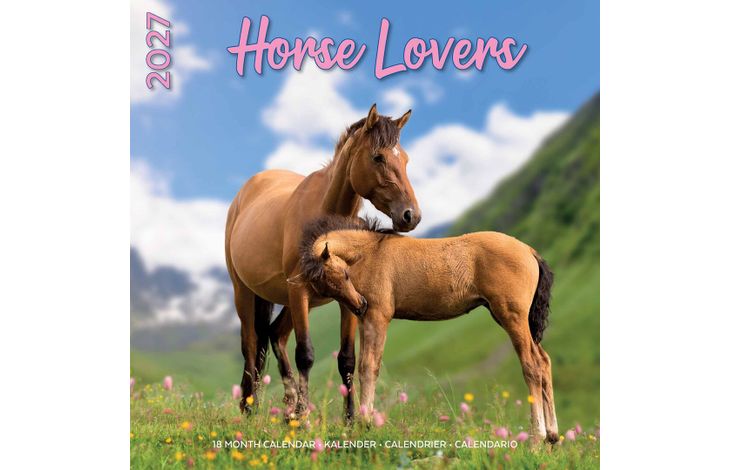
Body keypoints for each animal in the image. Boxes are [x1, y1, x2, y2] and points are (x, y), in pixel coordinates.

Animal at [225, 105, 421, 419]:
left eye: (405, 159)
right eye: (378, 157)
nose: (410, 215)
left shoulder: (349, 297)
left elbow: (347, 359)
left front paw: (349, 419)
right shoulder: (299, 291)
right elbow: (305, 354)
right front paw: (304, 417)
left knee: (274, 335)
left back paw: (288, 404)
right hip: (244, 292)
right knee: (252, 345)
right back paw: (251, 408)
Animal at [297, 215, 559, 443]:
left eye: (344, 274)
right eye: (325, 289)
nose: (360, 304)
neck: (371, 252)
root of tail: (529, 251)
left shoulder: (377, 316)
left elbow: (369, 367)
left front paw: (365, 423)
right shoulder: (366, 319)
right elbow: (364, 365)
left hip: (512, 317)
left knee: (532, 365)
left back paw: (538, 438)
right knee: (544, 361)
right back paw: (553, 437)